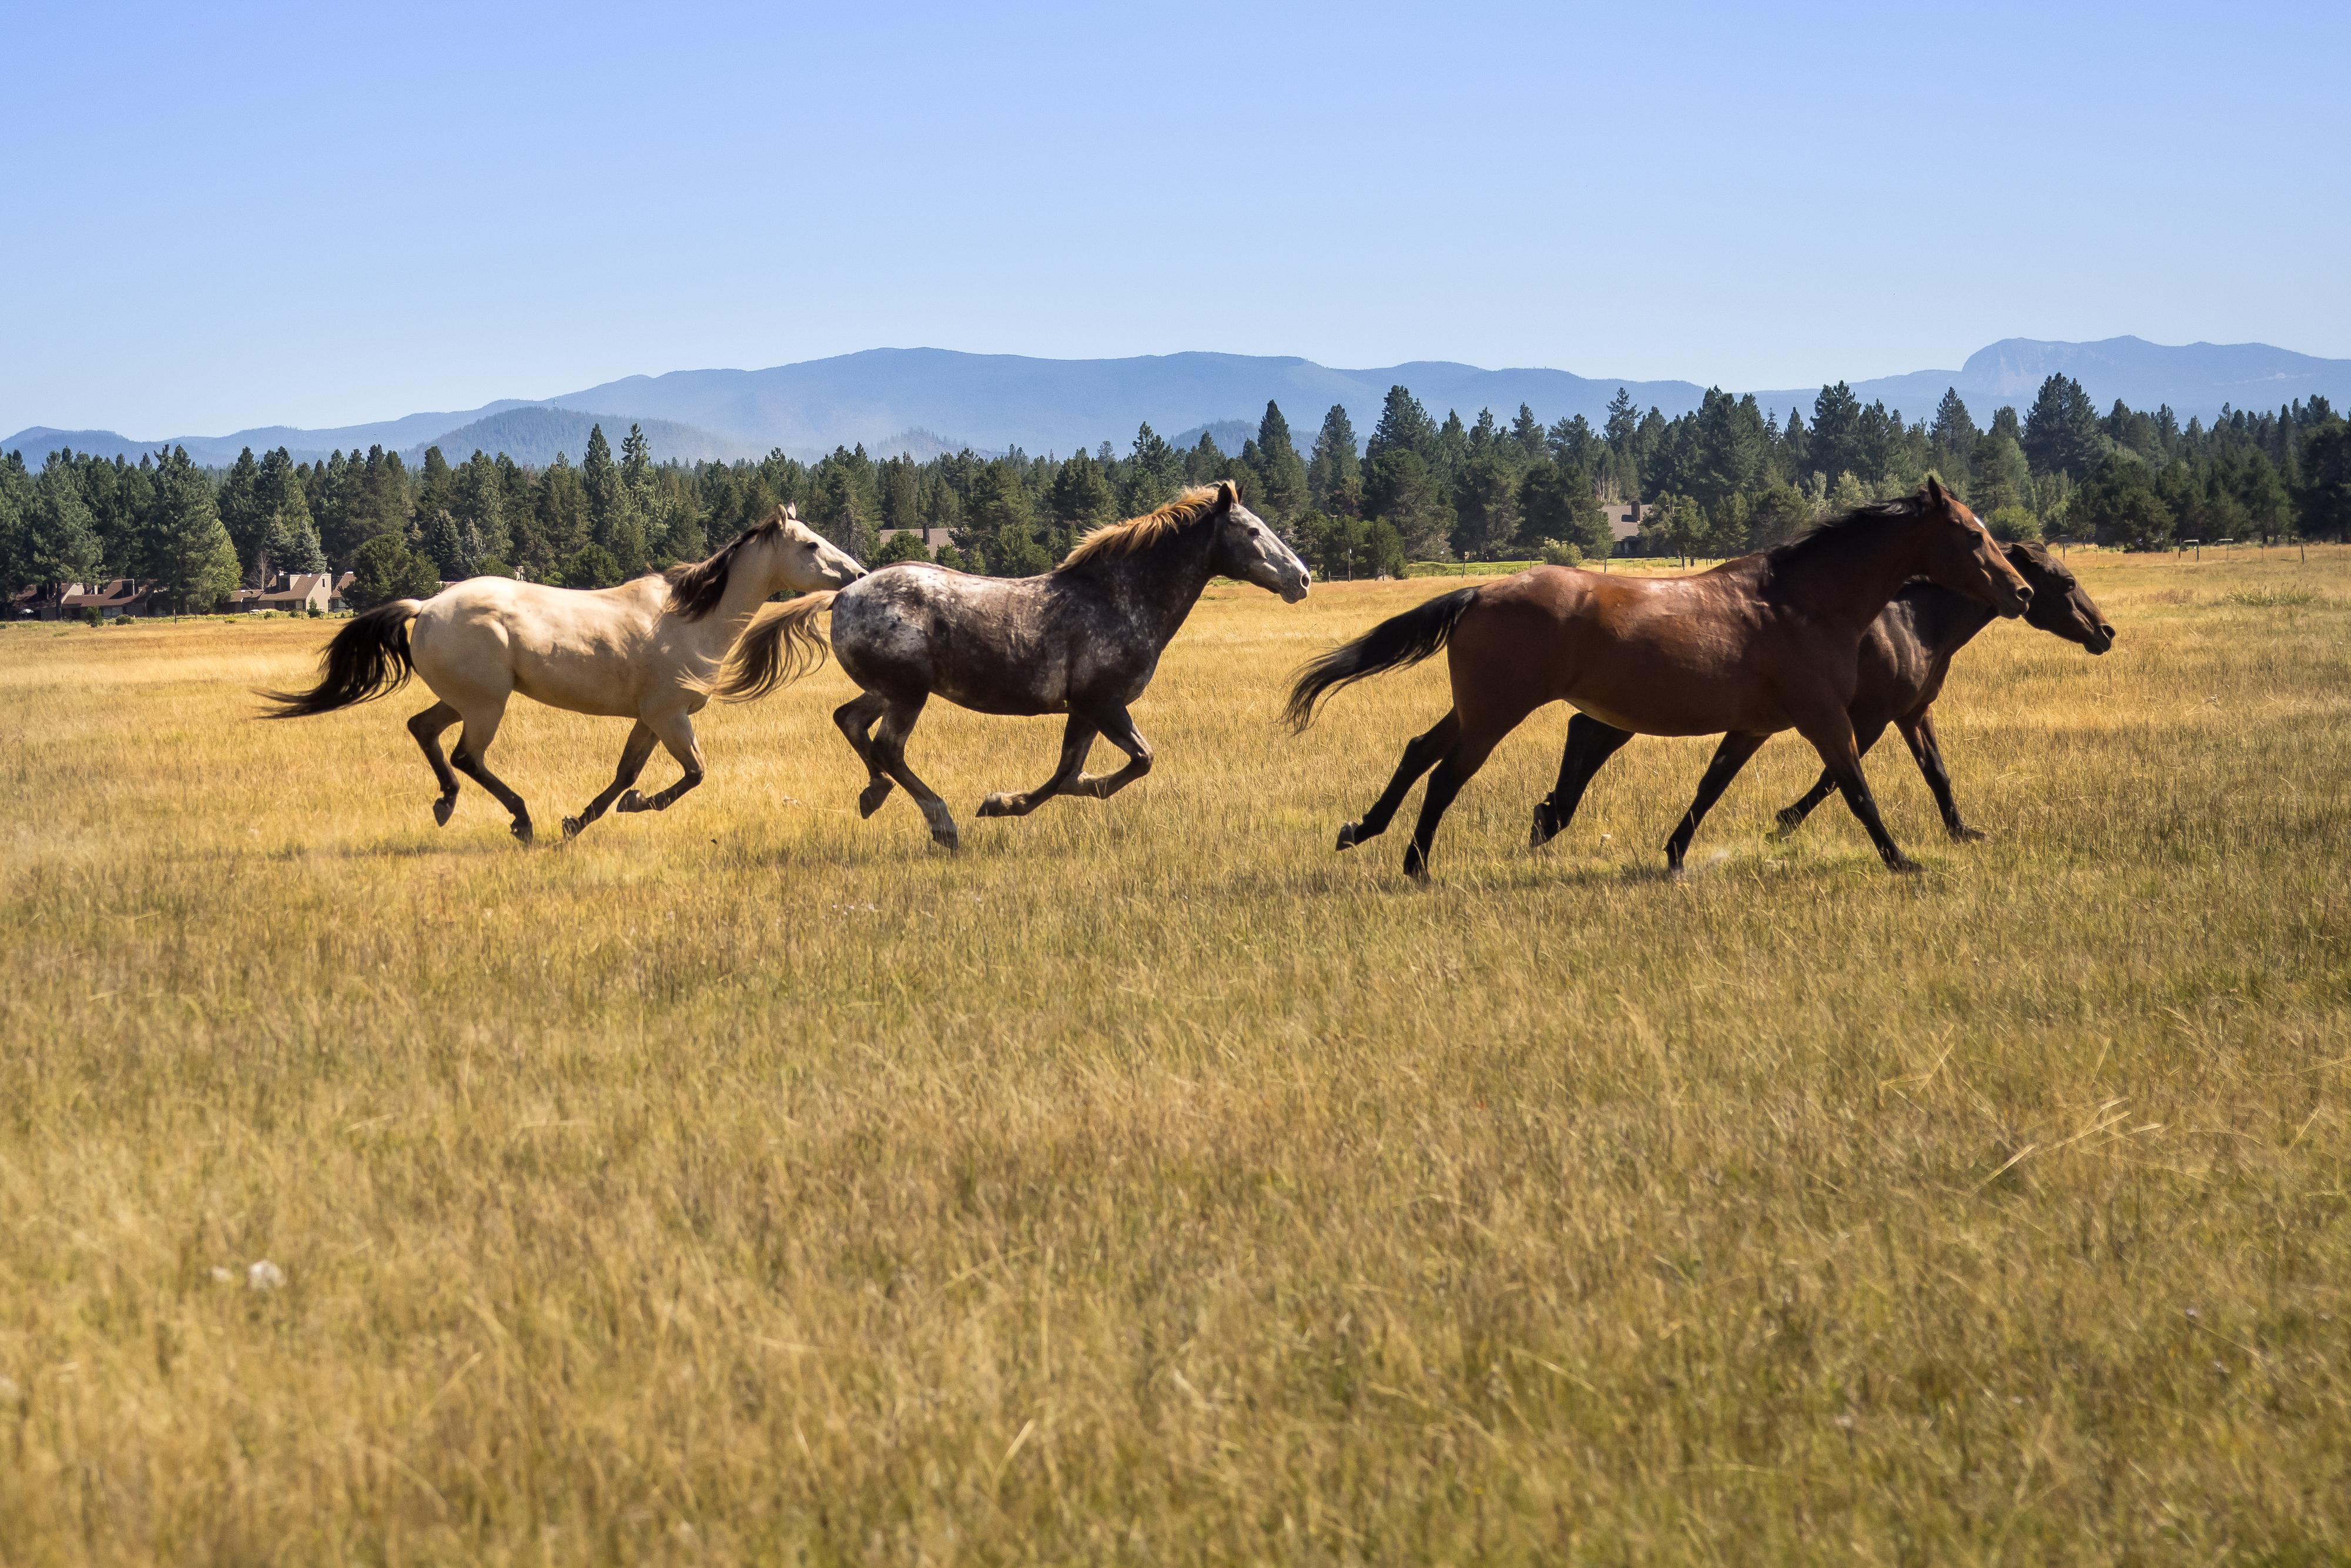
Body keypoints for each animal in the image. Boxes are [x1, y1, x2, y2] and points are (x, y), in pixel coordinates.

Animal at [261, 506, 865, 844]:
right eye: (810, 544)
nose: (857, 573)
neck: (693, 621)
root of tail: (426, 607)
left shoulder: (649, 719)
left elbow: (625, 772)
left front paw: (582, 820)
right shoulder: (671, 716)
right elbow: (694, 774)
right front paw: (633, 806)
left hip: (463, 700)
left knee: (424, 730)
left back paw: (447, 804)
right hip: (487, 705)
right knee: (466, 755)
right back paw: (520, 820)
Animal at [712, 481, 1311, 850]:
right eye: (1253, 531)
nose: (1302, 579)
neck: (1119, 598)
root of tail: (844, 593)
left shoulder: (1084, 710)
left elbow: (1073, 773)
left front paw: (1018, 798)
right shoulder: (1104, 702)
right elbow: (1135, 762)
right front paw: (999, 803)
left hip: (887, 689)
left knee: (850, 721)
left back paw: (874, 794)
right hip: (909, 693)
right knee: (888, 746)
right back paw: (942, 822)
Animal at [1284, 478, 2033, 878]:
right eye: (1972, 535)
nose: (2021, 591)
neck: (1800, 601)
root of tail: (1482, 590)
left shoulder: (1754, 726)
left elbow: (1709, 788)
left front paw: (1673, 856)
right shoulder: (1825, 719)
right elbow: (1856, 791)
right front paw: (1900, 859)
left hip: (1475, 710)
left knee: (1419, 752)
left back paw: (1362, 830)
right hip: (1495, 714)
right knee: (1444, 776)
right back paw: (1415, 866)